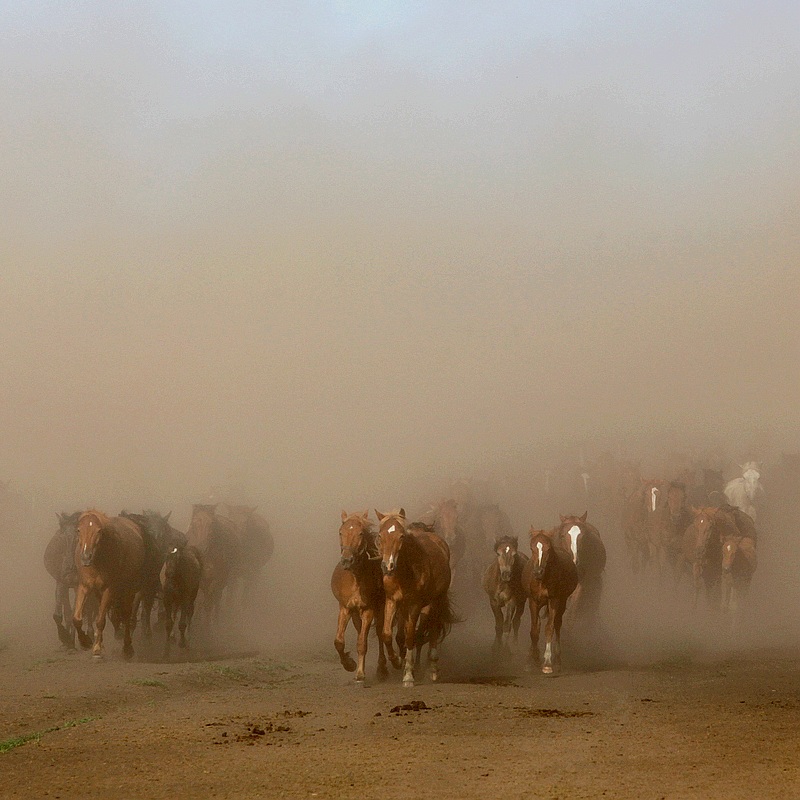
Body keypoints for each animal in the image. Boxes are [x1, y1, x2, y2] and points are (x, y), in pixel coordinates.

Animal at [72, 510, 145, 660]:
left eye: (99, 531)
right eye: (78, 530)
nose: (86, 557)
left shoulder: (109, 589)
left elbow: (100, 620)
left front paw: (97, 649)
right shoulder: (84, 586)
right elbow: (77, 618)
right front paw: (85, 642)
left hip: (128, 589)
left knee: (127, 615)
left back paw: (127, 648)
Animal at [326, 512, 386, 680]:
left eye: (360, 533)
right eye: (341, 532)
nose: (347, 560)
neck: (355, 579)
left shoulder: (368, 610)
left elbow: (362, 643)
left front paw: (360, 673)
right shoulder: (345, 608)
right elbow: (339, 641)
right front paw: (350, 664)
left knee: (379, 633)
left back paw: (382, 668)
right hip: (355, 614)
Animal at [376, 512, 454, 688]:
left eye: (401, 536)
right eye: (380, 535)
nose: (388, 566)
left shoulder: (415, 605)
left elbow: (411, 636)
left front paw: (408, 676)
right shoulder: (392, 601)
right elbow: (387, 634)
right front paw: (397, 660)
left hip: (435, 602)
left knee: (433, 629)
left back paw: (432, 669)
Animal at [520, 532, 580, 676]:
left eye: (548, 549)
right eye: (532, 548)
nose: (538, 572)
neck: (542, 580)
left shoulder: (554, 600)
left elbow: (549, 628)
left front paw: (547, 663)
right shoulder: (533, 601)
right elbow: (534, 630)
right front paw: (533, 660)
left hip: (562, 601)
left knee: (557, 624)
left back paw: (558, 661)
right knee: (538, 625)